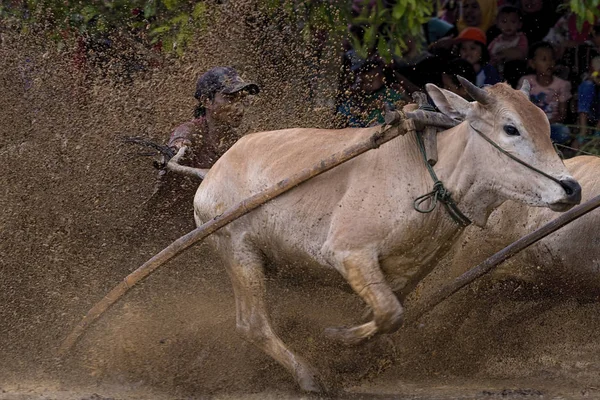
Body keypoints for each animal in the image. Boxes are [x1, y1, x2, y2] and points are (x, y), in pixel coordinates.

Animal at [192, 80, 580, 390]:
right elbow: (391, 314)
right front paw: (337, 338)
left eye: (546, 125)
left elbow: (384, 315)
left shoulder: (405, 273)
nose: (571, 188)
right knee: (252, 324)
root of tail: (214, 171)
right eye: (511, 128)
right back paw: (308, 376)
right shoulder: (349, 253)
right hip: (238, 251)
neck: (433, 175)